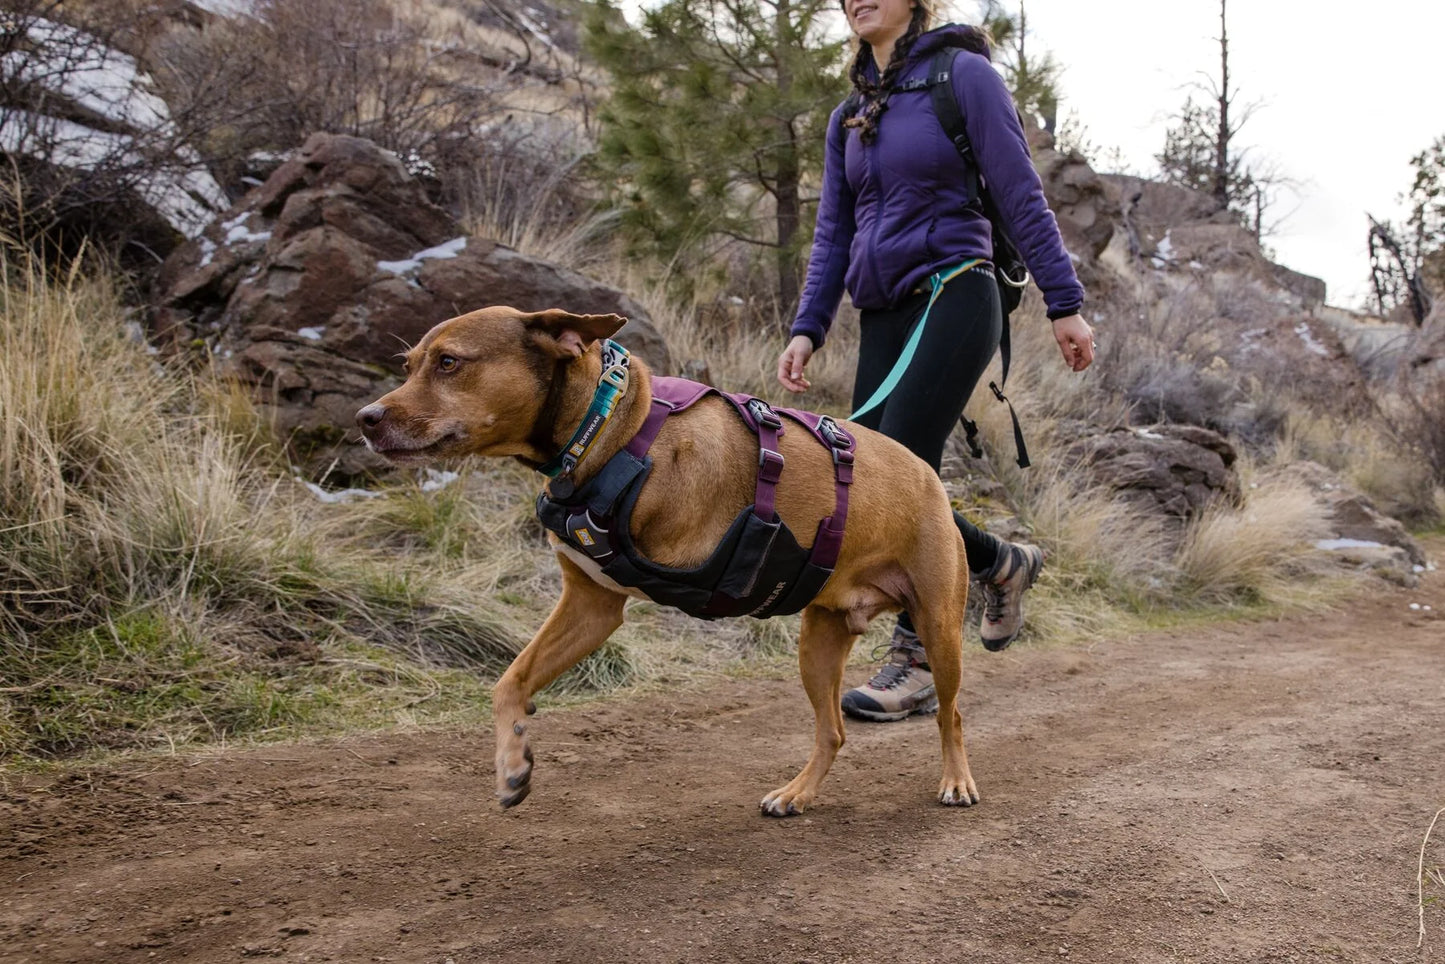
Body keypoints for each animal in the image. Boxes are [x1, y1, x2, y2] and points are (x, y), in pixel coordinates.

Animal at [355, 304, 976, 820]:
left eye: (449, 362)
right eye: (409, 365)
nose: (366, 418)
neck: (605, 425)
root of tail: (929, 474)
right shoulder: (591, 604)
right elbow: (509, 681)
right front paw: (511, 764)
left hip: (939, 629)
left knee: (950, 714)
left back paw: (956, 781)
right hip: (818, 644)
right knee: (834, 732)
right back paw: (797, 793)